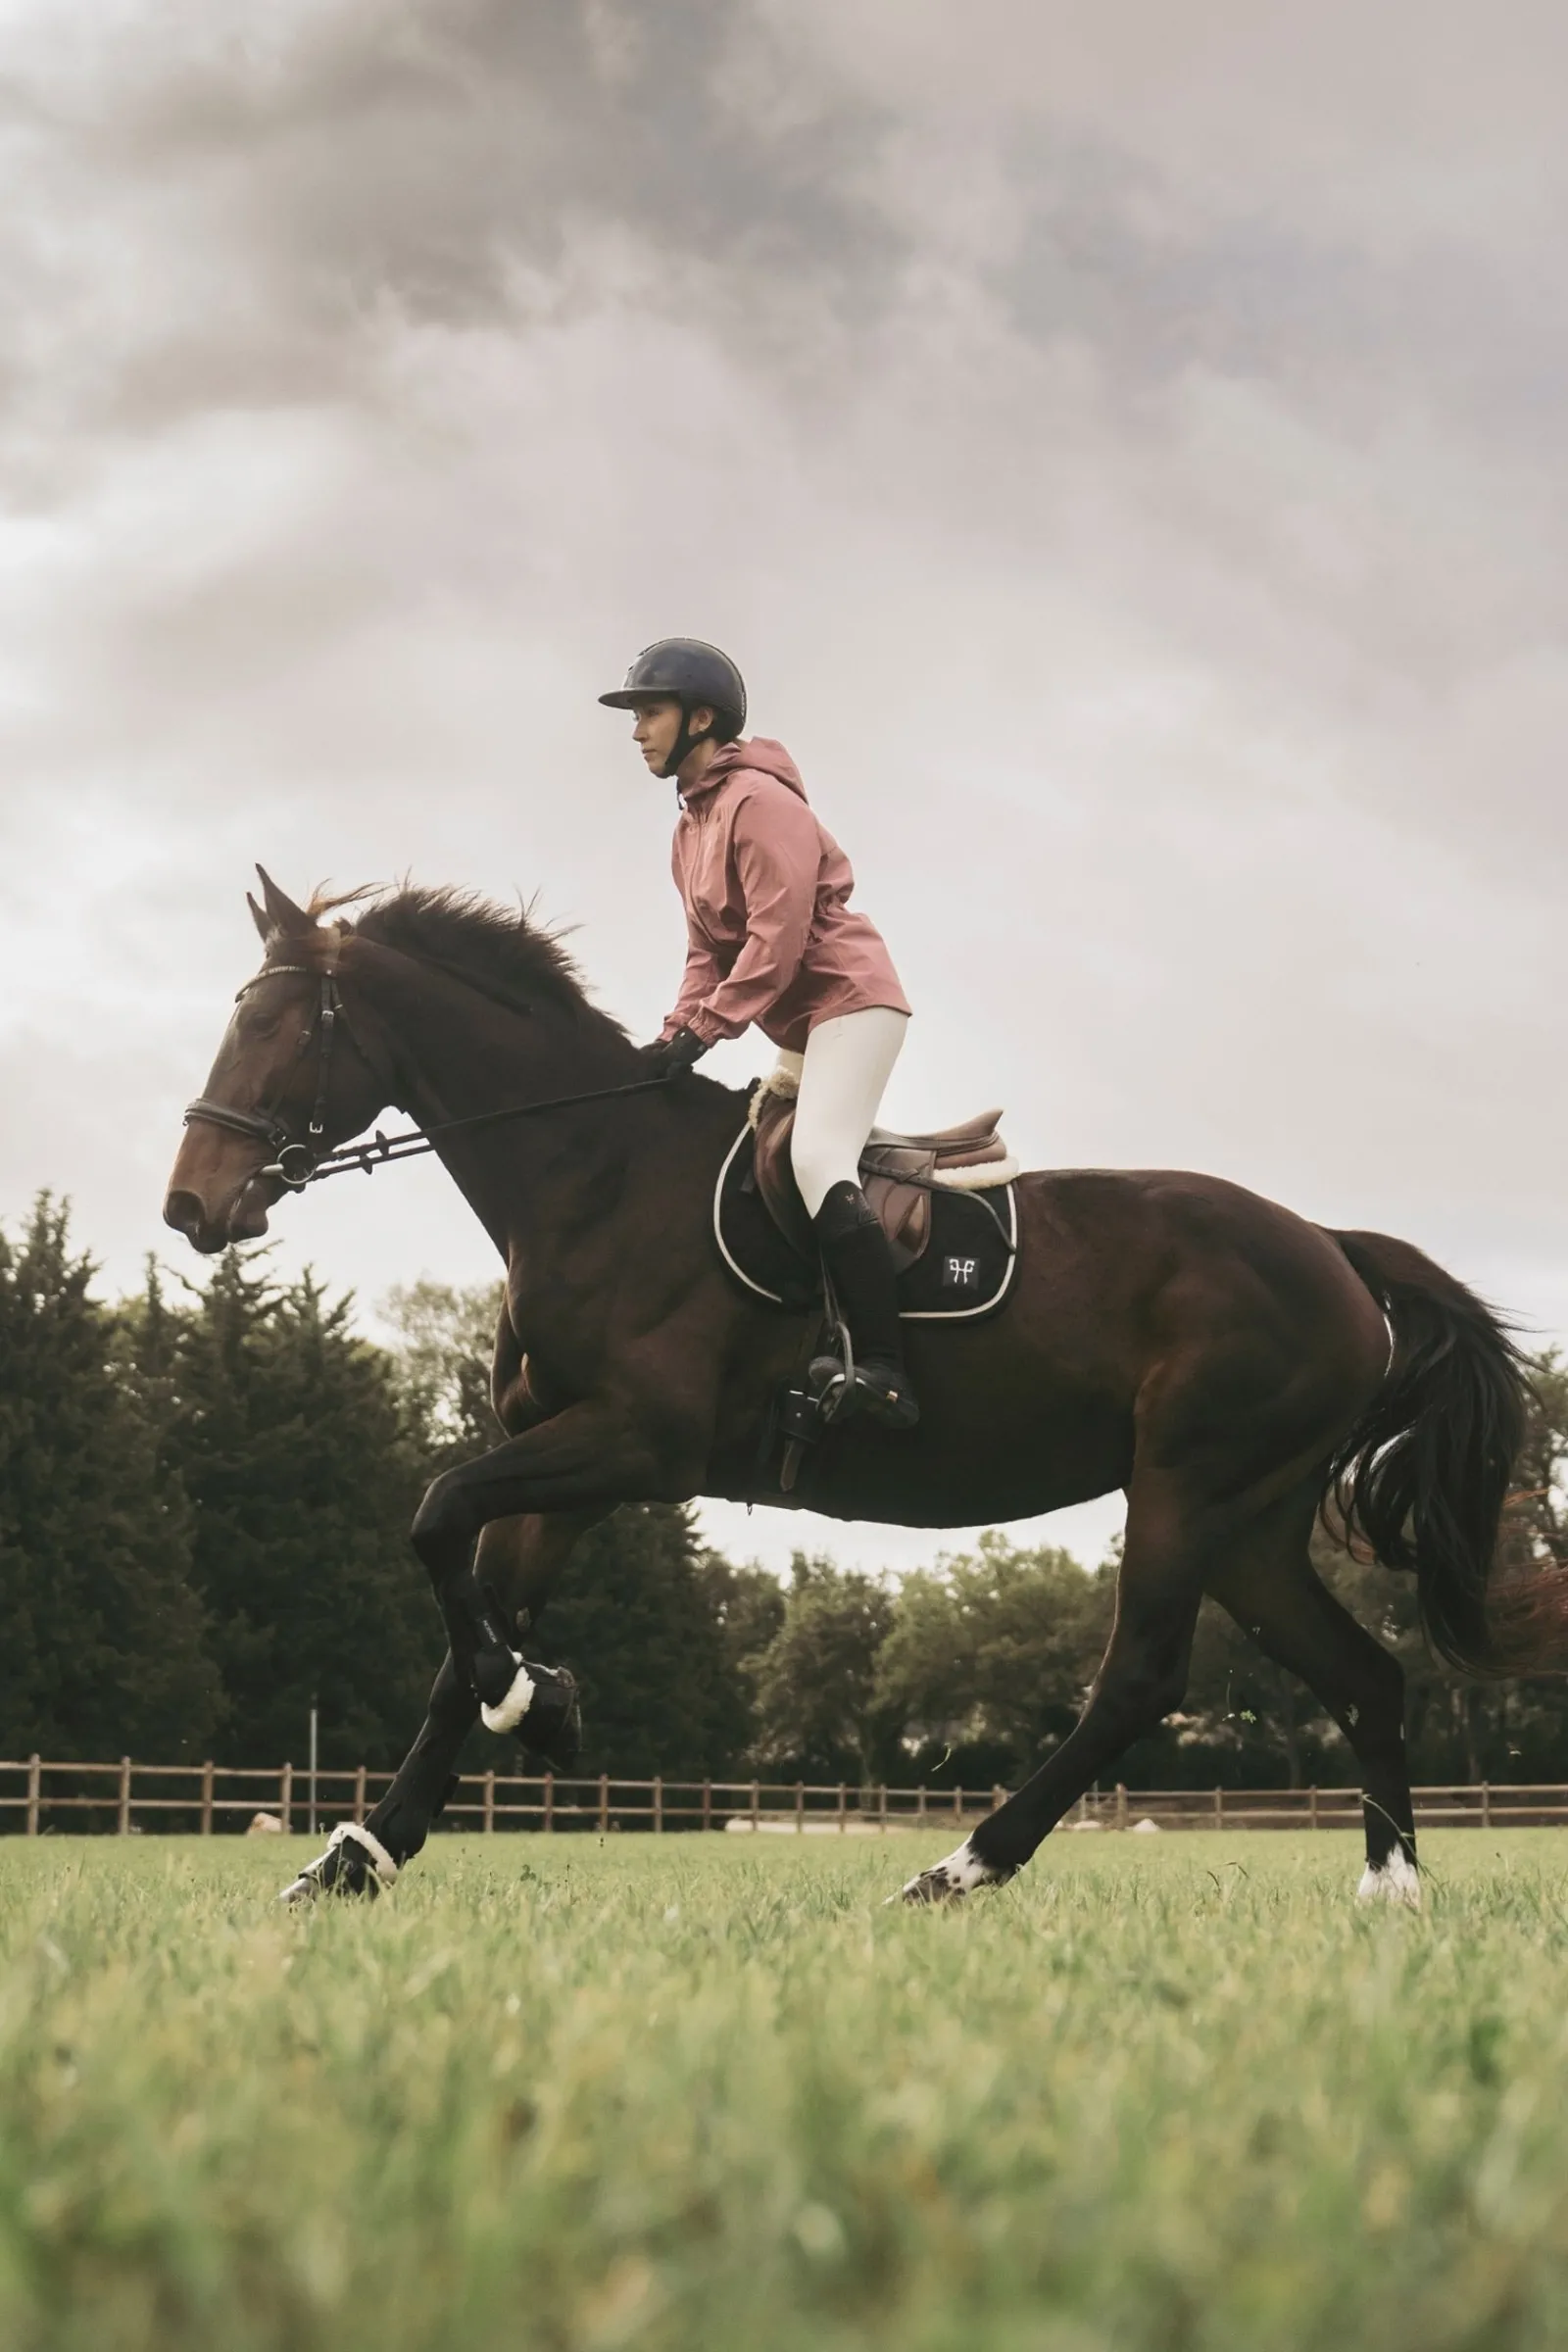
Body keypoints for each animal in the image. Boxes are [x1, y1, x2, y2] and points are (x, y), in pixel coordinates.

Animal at [163, 870, 1559, 1907]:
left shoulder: (635, 1444)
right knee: (1364, 1679)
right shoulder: (564, 1459)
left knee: (1141, 1679)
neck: (591, 1173)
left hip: (1187, 1485)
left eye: (273, 1026)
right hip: (1253, 1519)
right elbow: (462, 1623)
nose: (189, 1207)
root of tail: (1329, 1247)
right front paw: (368, 1848)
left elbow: (436, 1517)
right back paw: (1390, 1891)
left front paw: (534, 1707)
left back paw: (963, 1867)